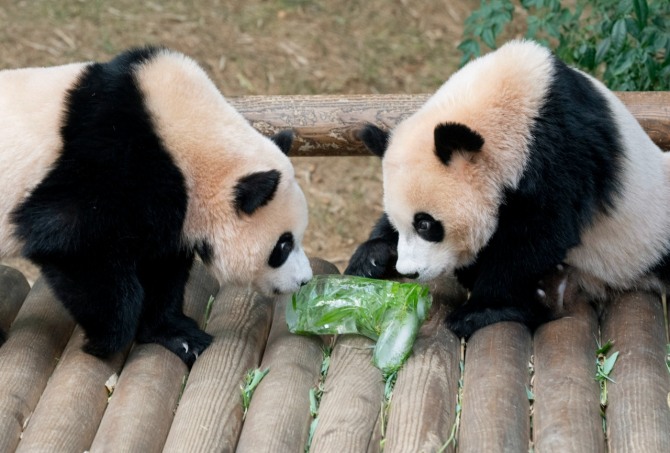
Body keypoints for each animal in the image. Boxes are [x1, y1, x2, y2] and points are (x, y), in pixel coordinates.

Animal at [0, 46, 316, 364]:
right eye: (283, 246)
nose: (305, 280)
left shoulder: (171, 208)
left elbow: (163, 269)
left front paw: (178, 335)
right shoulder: (110, 163)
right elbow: (69, 241)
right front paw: (105, 340)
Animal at [346, 39, 670, 336]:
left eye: (425, 224)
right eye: (400, 223)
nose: (409, 271)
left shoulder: (563, 155)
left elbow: (537, 236)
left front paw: (480, 309)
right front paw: (372, 257)